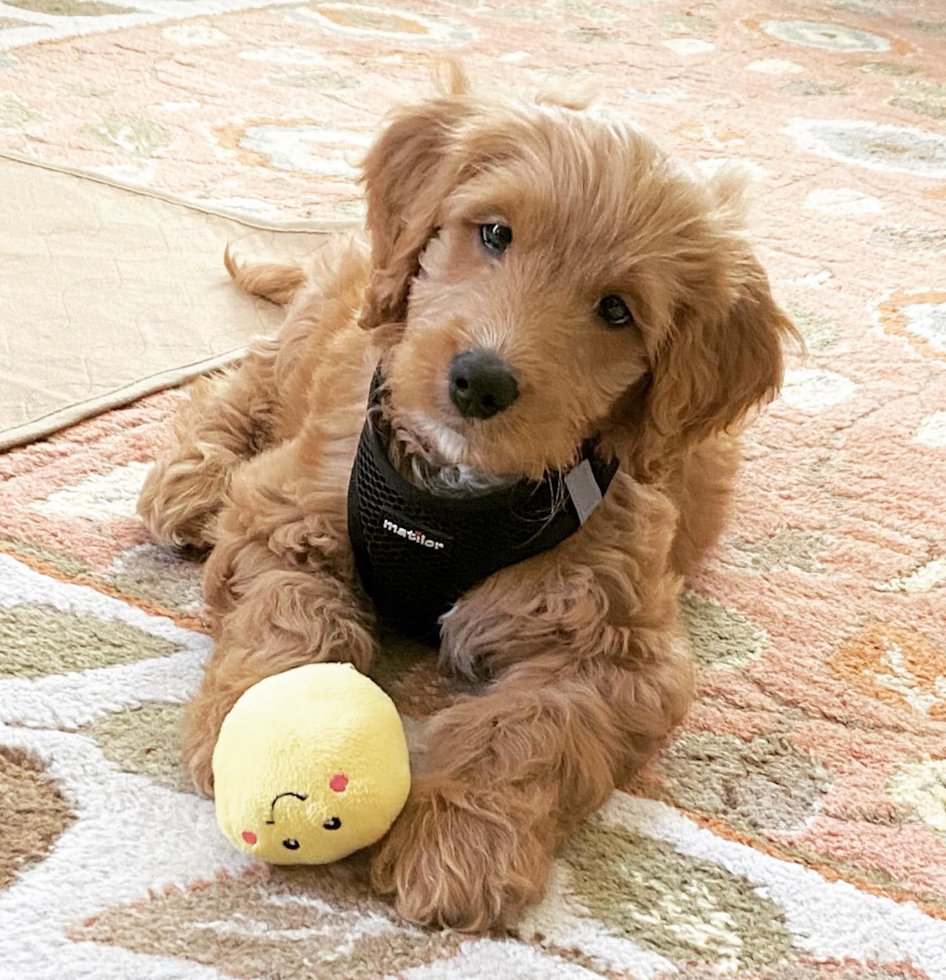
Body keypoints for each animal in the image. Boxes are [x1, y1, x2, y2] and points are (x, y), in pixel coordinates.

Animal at [138, 71, 796, 936]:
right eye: (494, 233)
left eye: (618, 310)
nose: (481, 380)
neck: (452, 497)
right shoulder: (283, 509)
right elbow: (290, 613)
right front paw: (257, 724)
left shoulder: (620, 646)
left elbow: (528, 729)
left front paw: (460, 844)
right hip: (326, 321)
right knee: (246, 377)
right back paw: (191, 477)